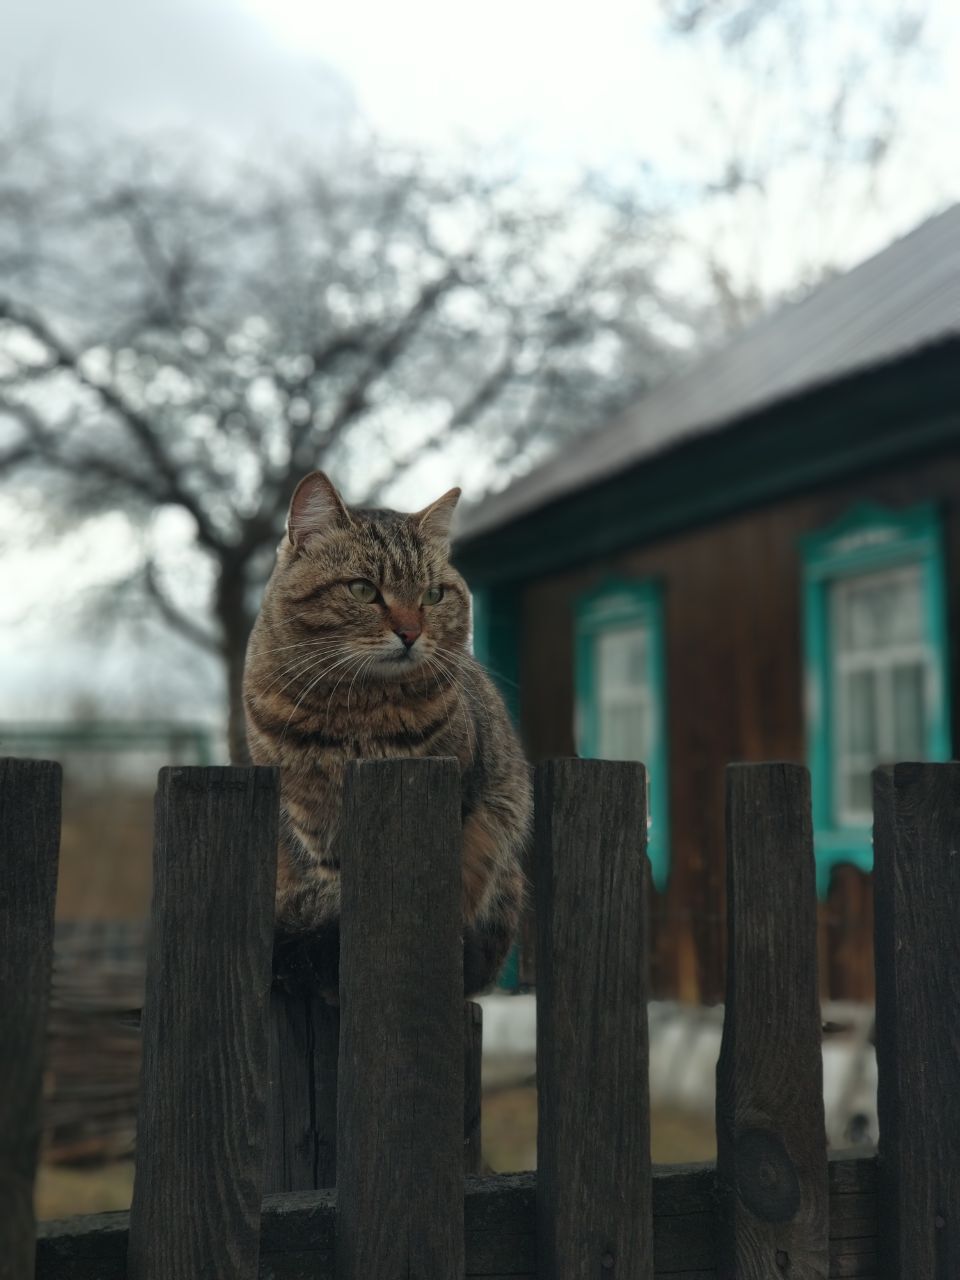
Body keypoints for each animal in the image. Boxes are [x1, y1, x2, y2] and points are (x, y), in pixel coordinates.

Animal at [238, 471, 529, 998]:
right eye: (362, 590)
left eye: (432, 595)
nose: (411, 633)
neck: (358, 713)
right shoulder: (312, 825)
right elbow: (333, 892)